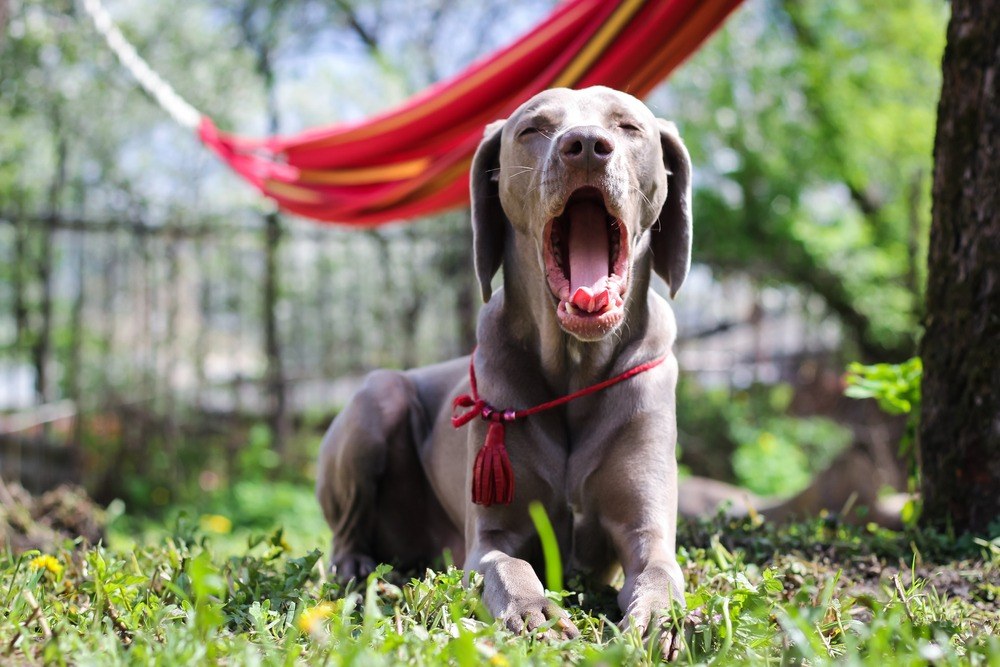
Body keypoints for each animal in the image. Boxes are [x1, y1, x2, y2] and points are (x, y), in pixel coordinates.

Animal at [316, 86, 692, 656]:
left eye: (628, 126)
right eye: (533, 129)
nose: (586, 146)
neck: (575, 368)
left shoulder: (645, 528)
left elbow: (659, 571)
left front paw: (660, 621)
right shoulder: (490, 535)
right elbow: (505, 563)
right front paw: (534, 611)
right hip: (376, 398)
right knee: (346, 530)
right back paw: (358, 567)